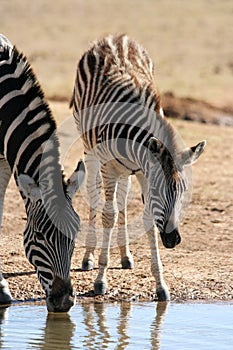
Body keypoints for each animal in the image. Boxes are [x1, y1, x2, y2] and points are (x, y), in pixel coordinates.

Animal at [69, 33, 206, 300]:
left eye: (184, 192)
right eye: (156, 190)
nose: (172, 239)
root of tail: (114, 37)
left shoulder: (143, 171)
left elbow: (147, 218)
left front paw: (161, 284)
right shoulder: (109, 166)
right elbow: (108, 215)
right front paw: (100, 279)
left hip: (125, 171)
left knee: (122, 199)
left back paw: (125, 256)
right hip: (90, 150)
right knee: (94, 195)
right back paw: (88, 257)